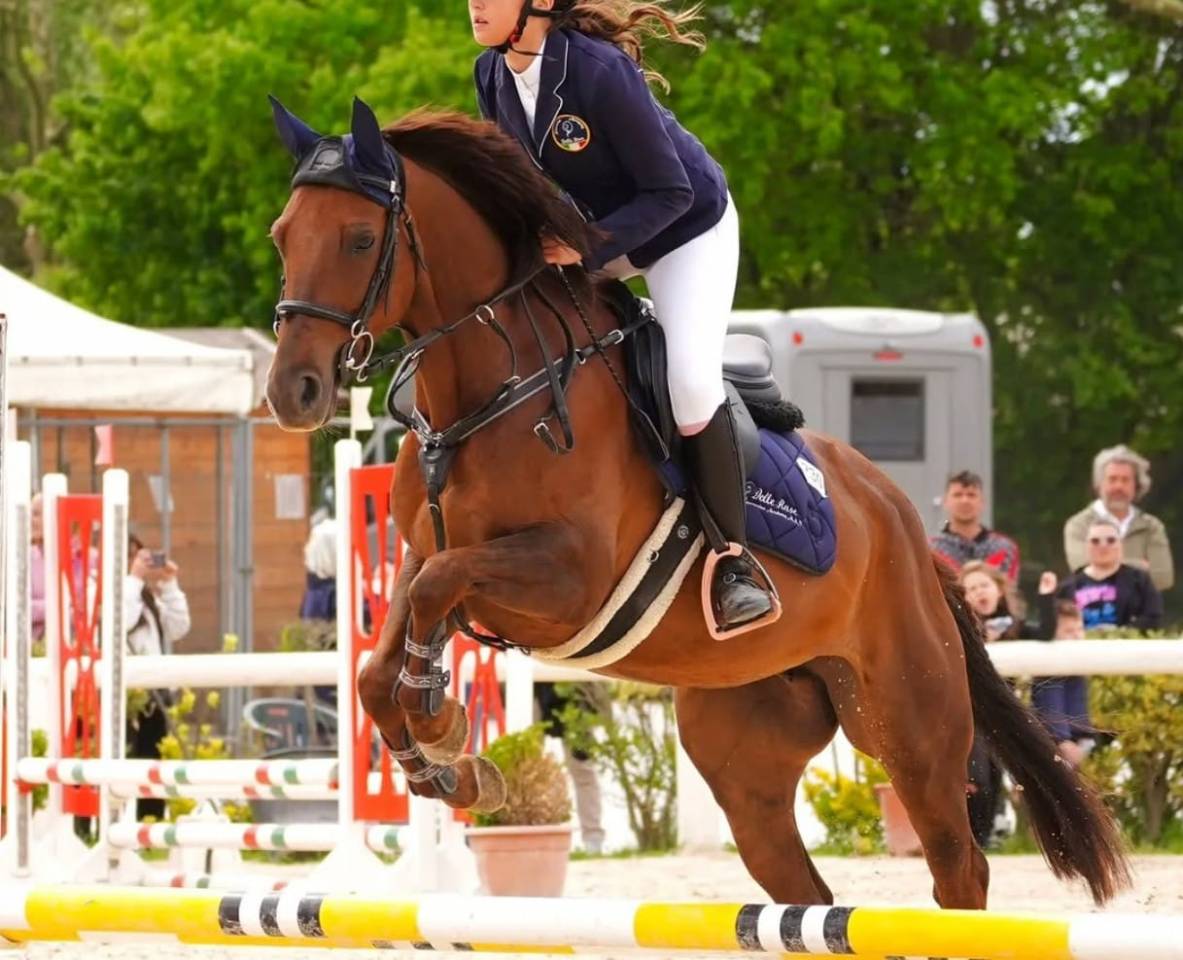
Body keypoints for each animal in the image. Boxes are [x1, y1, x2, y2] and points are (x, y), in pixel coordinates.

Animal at [264, 97, 1128, 909]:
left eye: (358, 240)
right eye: (282, 237)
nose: (292, 392)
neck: (491, 393)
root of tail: (911, 534)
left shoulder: (567, 581)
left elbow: (441, 595)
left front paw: (442, 729)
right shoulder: (421, 554)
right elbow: (382, 658)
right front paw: (453, 767)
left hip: (909, 724)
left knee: (957, 869)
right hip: (746, 748)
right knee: (804, 893)